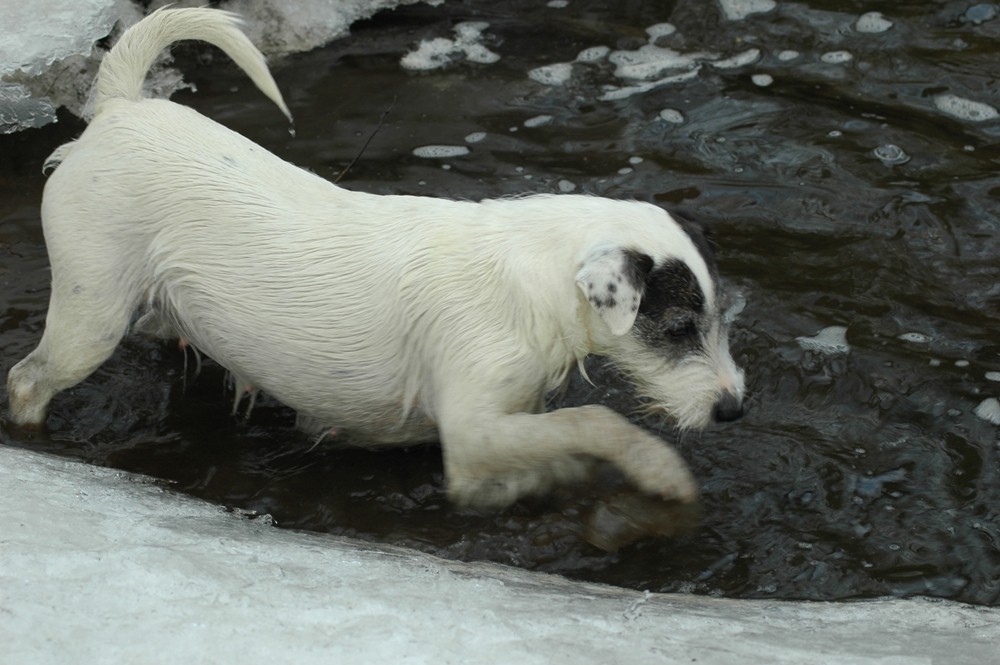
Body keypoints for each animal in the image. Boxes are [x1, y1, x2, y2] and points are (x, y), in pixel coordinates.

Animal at [7, 7, 744, 506]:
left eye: (718, 322)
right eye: (678, 328)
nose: (733, 411)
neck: (532, 282)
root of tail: (121, 110)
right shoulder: (473, 429)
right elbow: (591, 420)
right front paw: (654, 469)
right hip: (89, 314)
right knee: (27, 378)